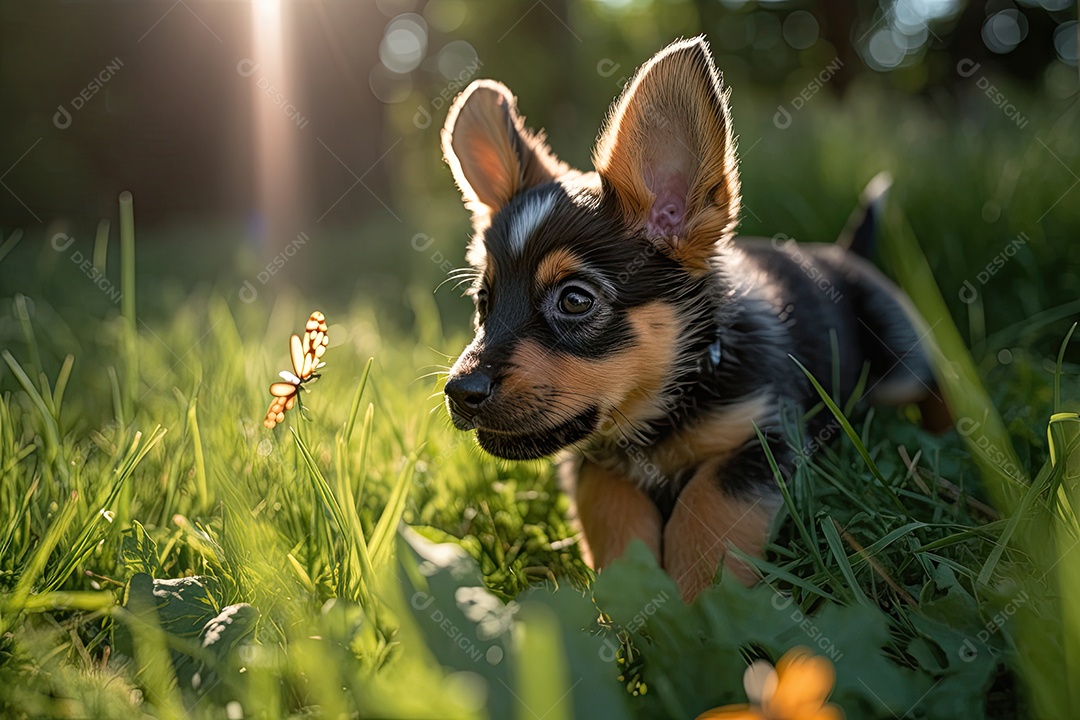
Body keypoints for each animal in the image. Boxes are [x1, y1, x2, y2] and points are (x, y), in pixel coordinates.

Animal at [438, 39, 946, 604]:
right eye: (483, 301)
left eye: (574, 301)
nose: (459, 392)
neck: (664, 407)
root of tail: (844, 251)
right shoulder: (594, 465)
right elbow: (613, 515)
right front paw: (637, 604)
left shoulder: (762, 436)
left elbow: (706, 506)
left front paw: (698, 603)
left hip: (900, 359)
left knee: (936, 384)